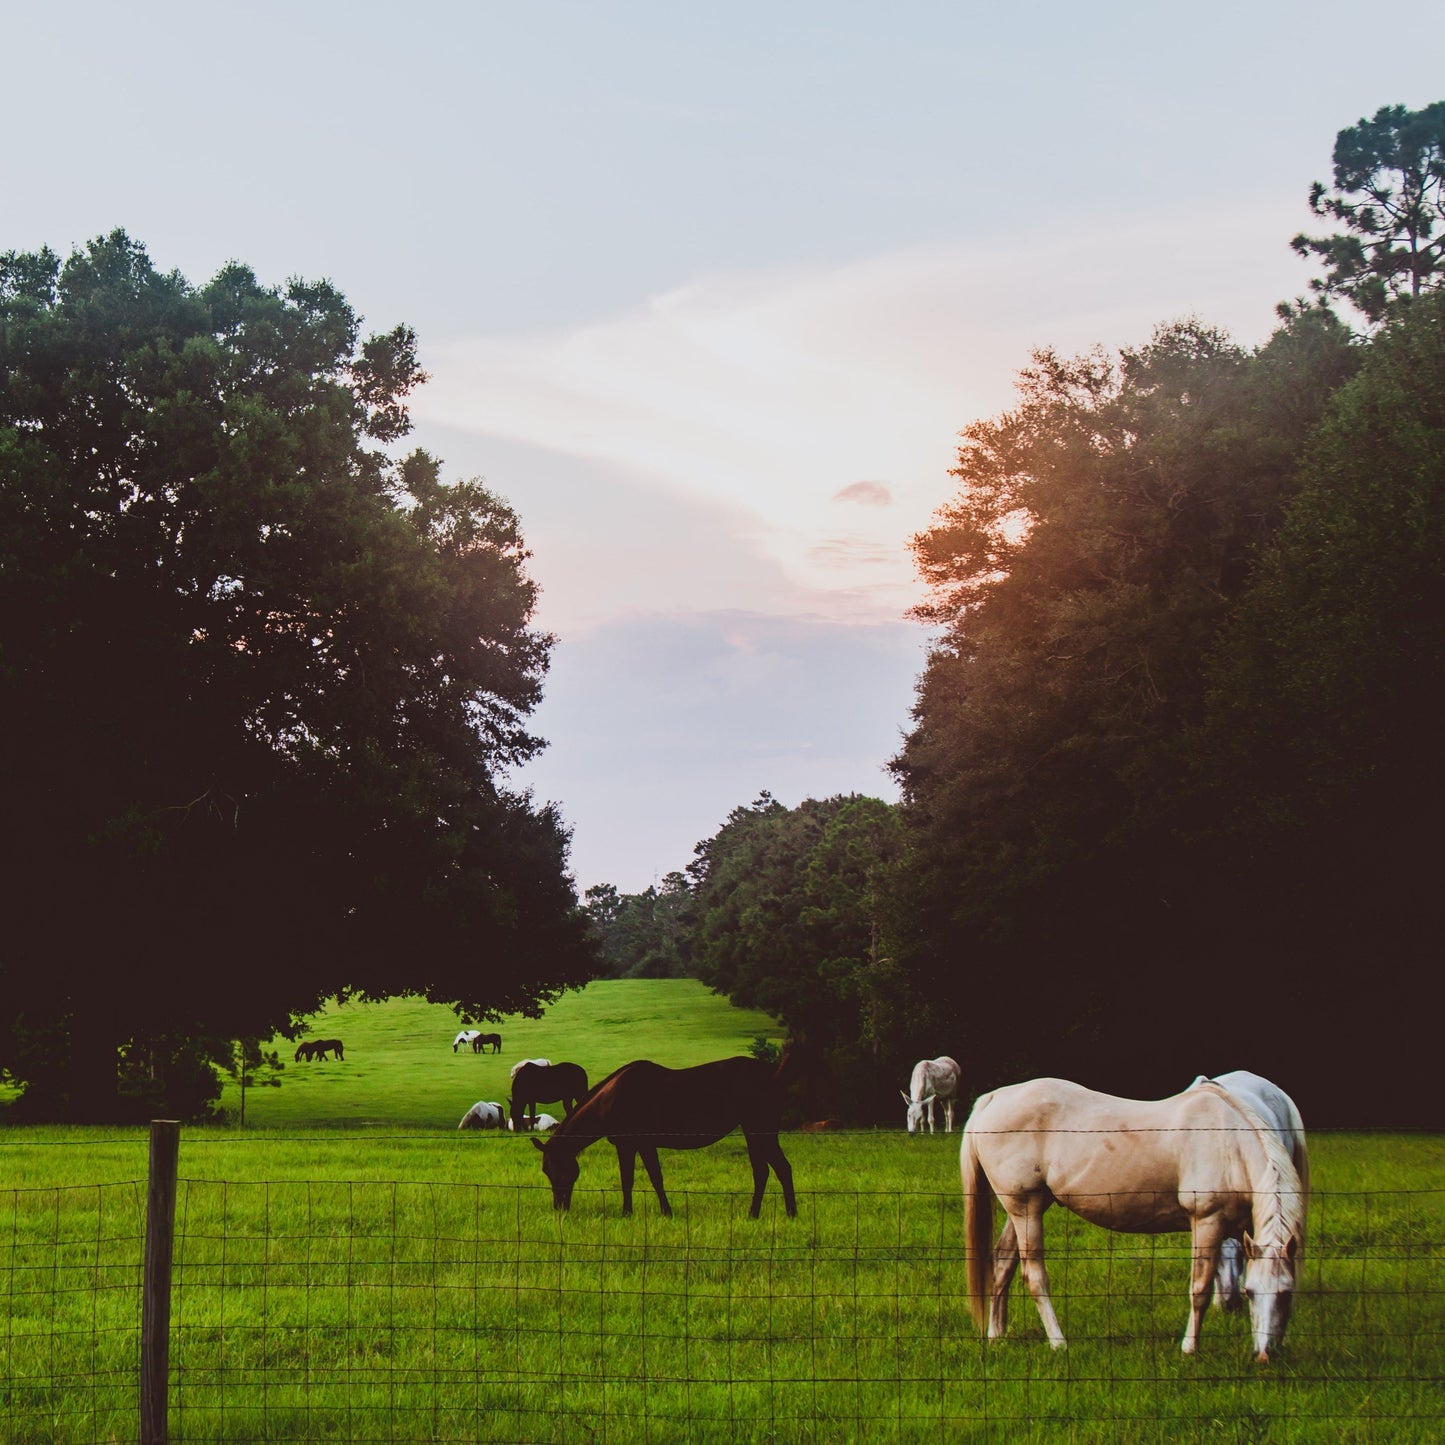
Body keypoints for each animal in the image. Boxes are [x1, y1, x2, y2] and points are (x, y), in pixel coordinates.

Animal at [534, 1051, 797, 1219]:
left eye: (556, 1169)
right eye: (545, 1171)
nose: (559, 1208)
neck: (611, 1100)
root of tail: (774, 1074)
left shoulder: (638, 1144)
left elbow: (645, 1179)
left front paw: (648, 1212)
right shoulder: (634, 1145)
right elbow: (640, 1179)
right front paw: (645, 1212)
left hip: (759, 1131)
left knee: (772, 1169)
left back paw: (771, 1213)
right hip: (758, 1133)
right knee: (772, 1170)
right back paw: (774, 1213)